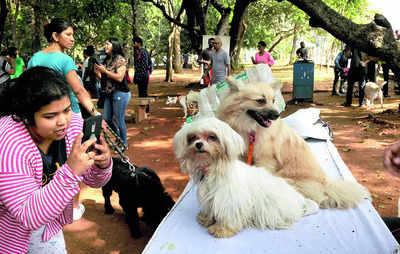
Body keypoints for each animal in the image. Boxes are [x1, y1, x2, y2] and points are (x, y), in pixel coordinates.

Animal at [173, 117, 320, 238]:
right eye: (192, 137)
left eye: (212, 136)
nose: (198, 144)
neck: (213, 169)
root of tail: (298, 199)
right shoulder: (208, 196)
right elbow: (209, 208)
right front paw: (205, 219)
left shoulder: (229, 199)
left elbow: (229, 215)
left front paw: (222, 230)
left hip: (269, 208)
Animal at [217, 77, 370, 208]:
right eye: (260, 100)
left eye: (273, 100)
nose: (277, 115)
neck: (250, 130)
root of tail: (326, 182)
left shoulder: (265, 159)